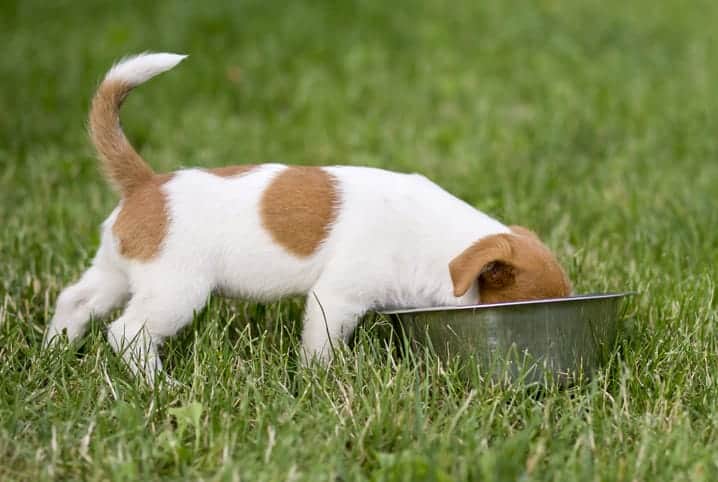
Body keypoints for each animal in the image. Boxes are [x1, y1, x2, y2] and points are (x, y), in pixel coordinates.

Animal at [45, 52, 572, 382]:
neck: (439, 243)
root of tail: (147, 184)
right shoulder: (335, 299)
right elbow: (323, 347)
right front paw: (326, 382)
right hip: (176, 291)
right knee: (127, 333)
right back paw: (158, 386)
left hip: (116, 273)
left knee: (75, 300)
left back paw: (55, 350)